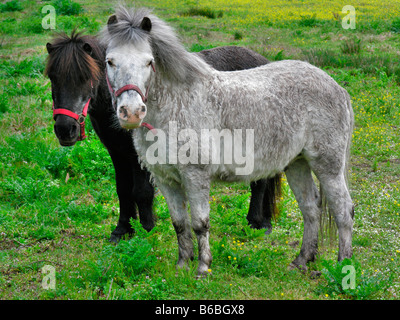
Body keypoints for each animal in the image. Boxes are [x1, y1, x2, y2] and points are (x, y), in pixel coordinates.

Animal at [44, 31, 282, 242]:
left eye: (85, 77)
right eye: (52, 77)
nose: (65, 129)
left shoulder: (139, 154)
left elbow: (142, 191)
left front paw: (147, 230)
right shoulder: (117, 152)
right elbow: (123, 189)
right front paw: (122, 230)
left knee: (260, 180)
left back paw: (257, 223)